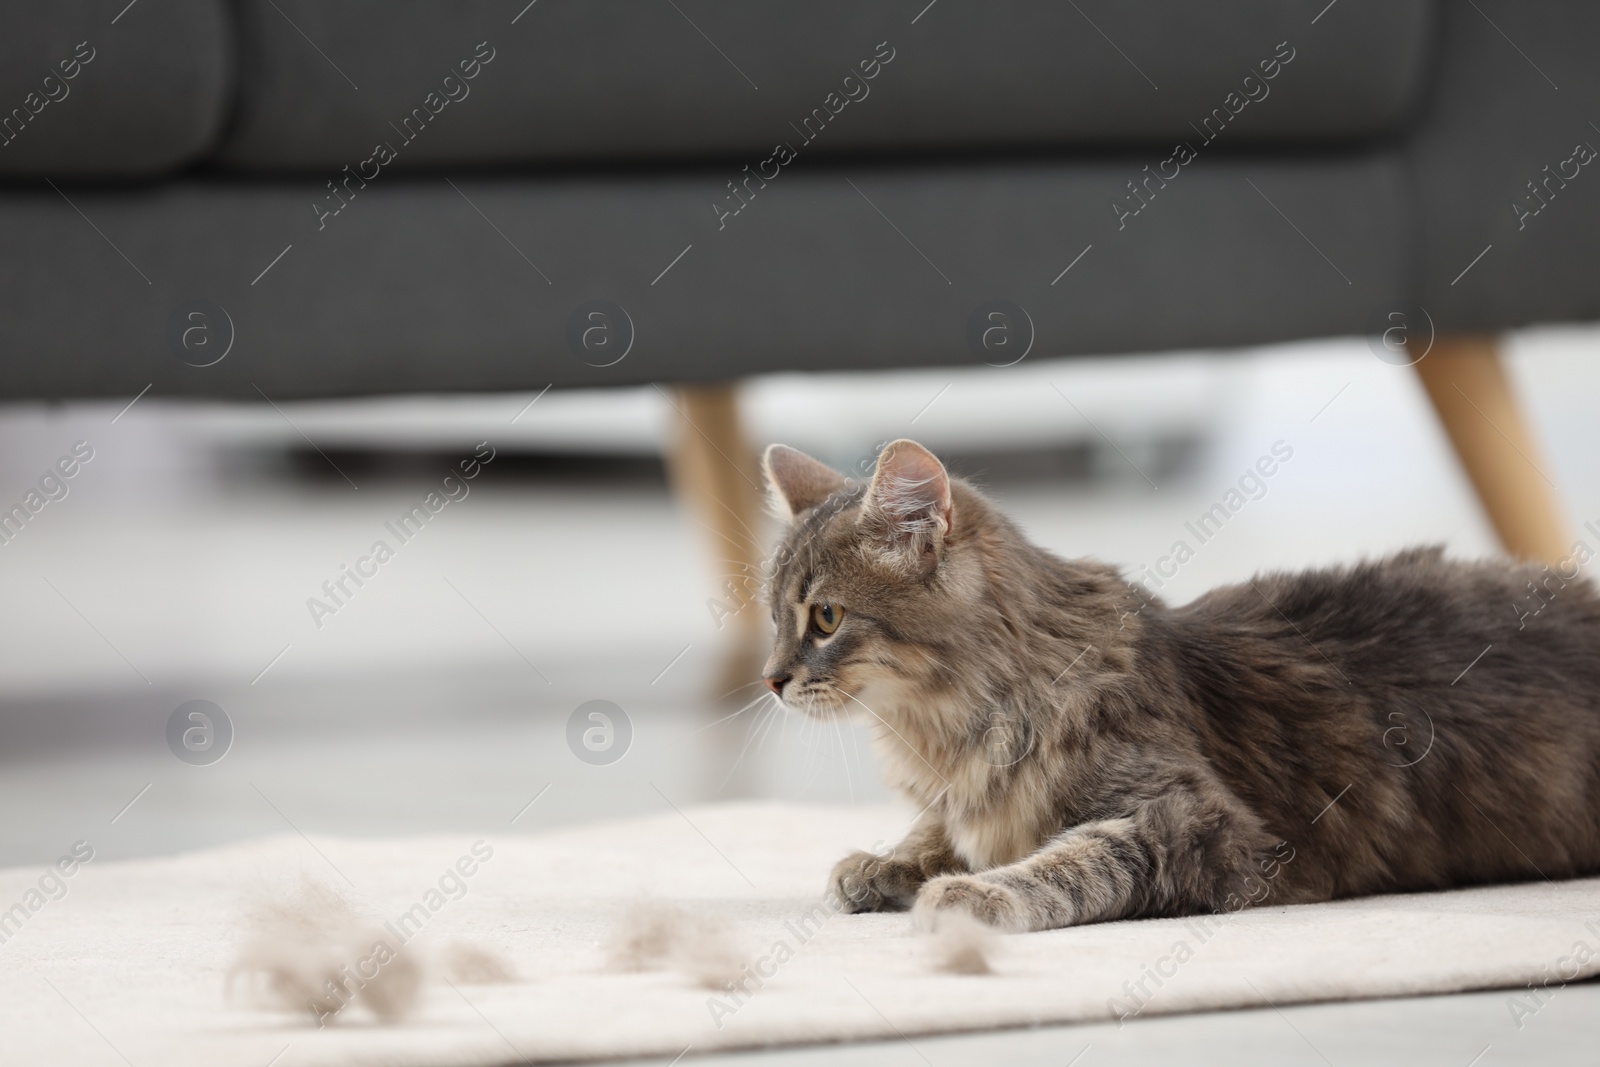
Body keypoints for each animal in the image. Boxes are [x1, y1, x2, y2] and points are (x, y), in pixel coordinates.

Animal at [758, 438, 1600, 927]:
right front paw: (881, 863)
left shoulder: (1199, 826)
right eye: (773, 616)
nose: (769, 679)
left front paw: (977, 892)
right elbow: (941, 830)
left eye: (826, 617)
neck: (943, 727)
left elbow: (1070, 860)